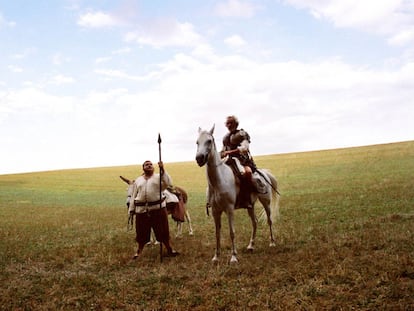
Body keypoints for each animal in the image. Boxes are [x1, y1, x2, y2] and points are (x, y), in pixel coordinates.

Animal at [196, 125, 280, 264]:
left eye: (209, 141)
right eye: (197, 142)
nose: (199, 158)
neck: (219, 181)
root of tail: (264, 173)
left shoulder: (229, 209)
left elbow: (232, 232)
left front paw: (234, 257)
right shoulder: (215, 211)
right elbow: (217, 234)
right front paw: (216, 257)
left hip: (265, 202)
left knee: (269, 220)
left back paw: (272, 242)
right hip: (250, 206)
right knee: (255, 222)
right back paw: (251, 245)